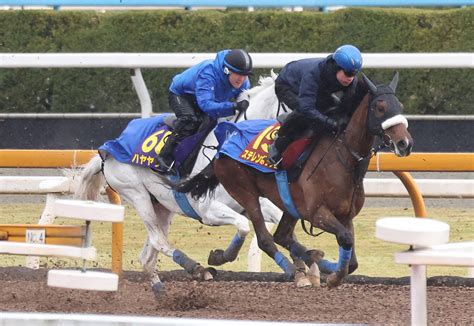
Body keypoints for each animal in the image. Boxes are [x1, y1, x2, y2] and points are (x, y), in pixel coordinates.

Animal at [173, 74, 412, 288]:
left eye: (399, 105)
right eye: (380, 107)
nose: (405, 143)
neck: (342, 156)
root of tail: (224, 143)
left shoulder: (345, 215)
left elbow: (351, 258)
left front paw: (327, 269)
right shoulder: (317, 213)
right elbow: (345, 239)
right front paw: (333, 277)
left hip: (289, 203)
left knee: (282, 235)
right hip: (245, 192)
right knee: (265, 238)